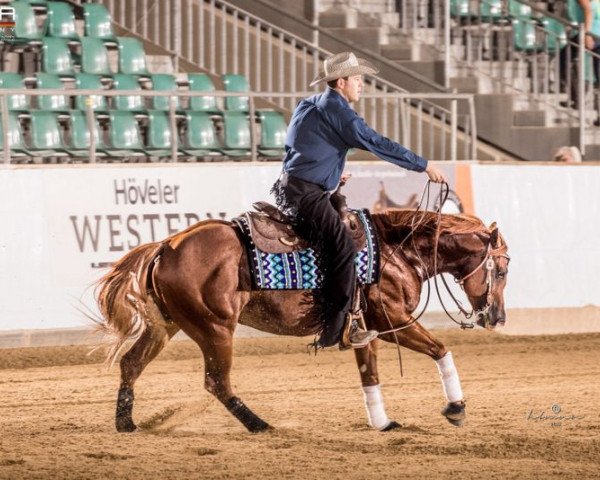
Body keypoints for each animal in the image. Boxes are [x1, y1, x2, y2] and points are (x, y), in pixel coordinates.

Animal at [96, 208, 508, 434]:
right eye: (502, 270)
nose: (498, 317)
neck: (396, 250)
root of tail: (166, 246)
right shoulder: (395, 321)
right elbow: (441, 349)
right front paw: (456, 408)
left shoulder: (366, 330)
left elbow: (370, 376)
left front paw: (382, 422)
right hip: (215, 329)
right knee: (217, 382)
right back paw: (260, 425)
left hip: (166, 326)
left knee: (131, 364)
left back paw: (126, 423)